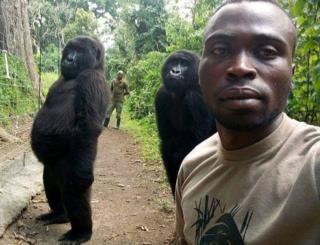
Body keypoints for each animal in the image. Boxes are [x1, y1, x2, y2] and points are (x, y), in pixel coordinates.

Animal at [30, 35, 110, 244]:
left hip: (71, 165)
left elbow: (87, 128)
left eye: (79, 52)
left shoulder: (92, 80)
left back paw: (81, 232)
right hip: (52, 167)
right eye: (70, 50)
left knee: (73, 191)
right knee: (50, 182)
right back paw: (58, 214)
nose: (69, 59)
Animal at [154, 50, 215, 196]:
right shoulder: (161, 95)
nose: (175, 71)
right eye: (173, 63)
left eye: (184, 64)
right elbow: (167, 145)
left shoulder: (196, 98)